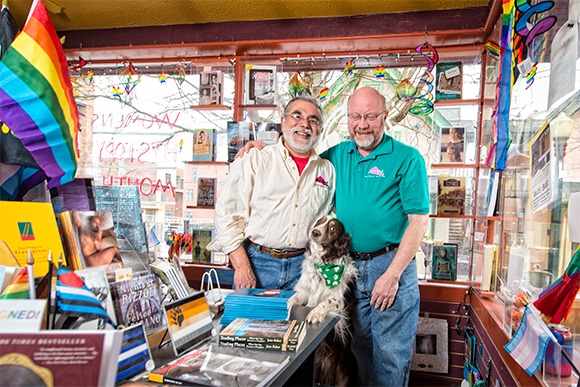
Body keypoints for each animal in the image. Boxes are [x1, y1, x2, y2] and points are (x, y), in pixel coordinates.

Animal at [292, 217, 356, 386]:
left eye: (333, 228)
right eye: (319, 222)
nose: (315, 232)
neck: (324, 265)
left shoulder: (339, 299)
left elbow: (327, 302)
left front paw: (315, 313)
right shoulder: (303, 292)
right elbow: (293, 298)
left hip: (343, 368)